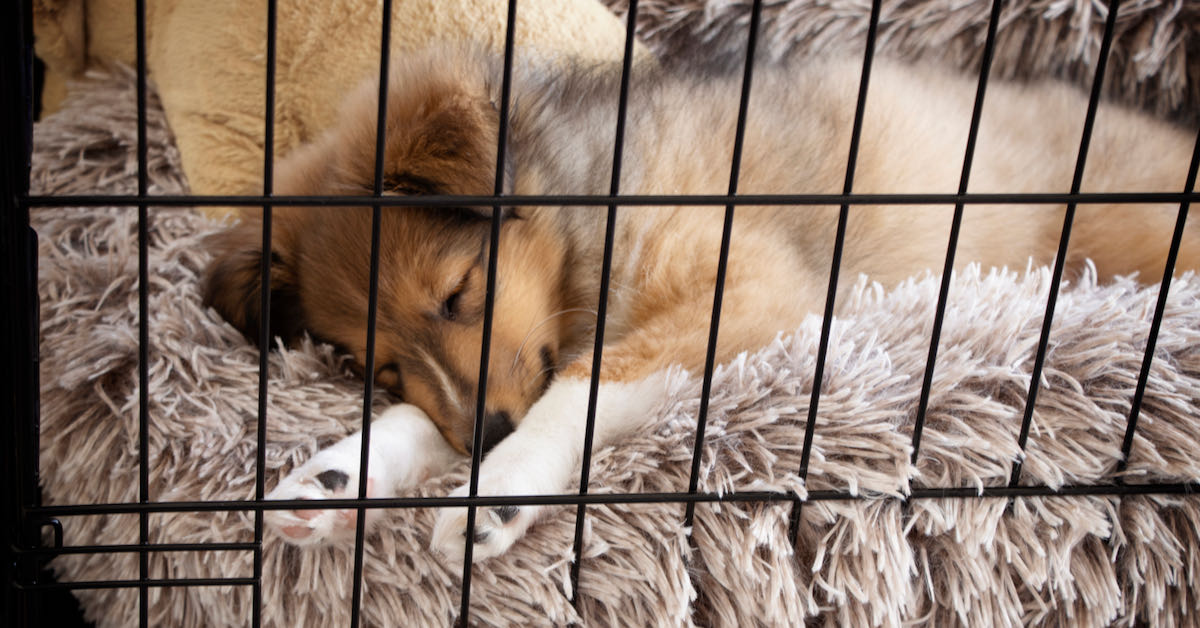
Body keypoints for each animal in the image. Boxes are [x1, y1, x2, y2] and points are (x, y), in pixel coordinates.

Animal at [201, 46, 1195, 561]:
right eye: (377, 363)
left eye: (458, 293)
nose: (484, 438)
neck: (589, 207)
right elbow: (434, 413)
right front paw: (334, 478)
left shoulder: (747, 287)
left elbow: (584, 388)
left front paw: (500, 489)